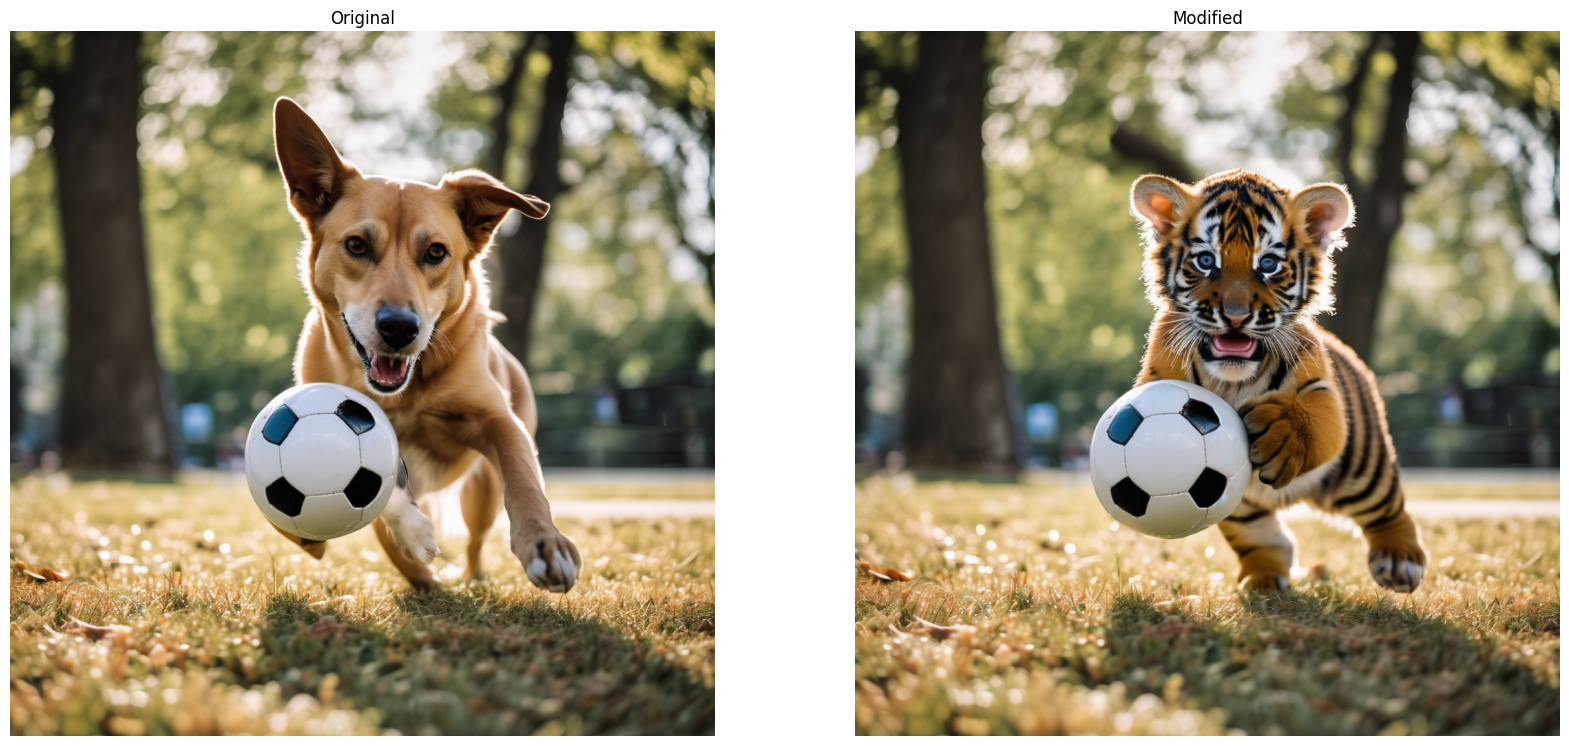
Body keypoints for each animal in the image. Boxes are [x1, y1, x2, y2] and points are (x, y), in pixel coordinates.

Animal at [269, 96, 583, 593]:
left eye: (436, 252)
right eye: (356, 245)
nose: (400, 328)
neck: (405, 395)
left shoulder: (499, 421)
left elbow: (524, 481)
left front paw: (544, 541)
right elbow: (380, 493)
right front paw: (413, 532)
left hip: (482, 494)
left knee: (476, 540)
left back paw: (468, 578)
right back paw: (424, 574)